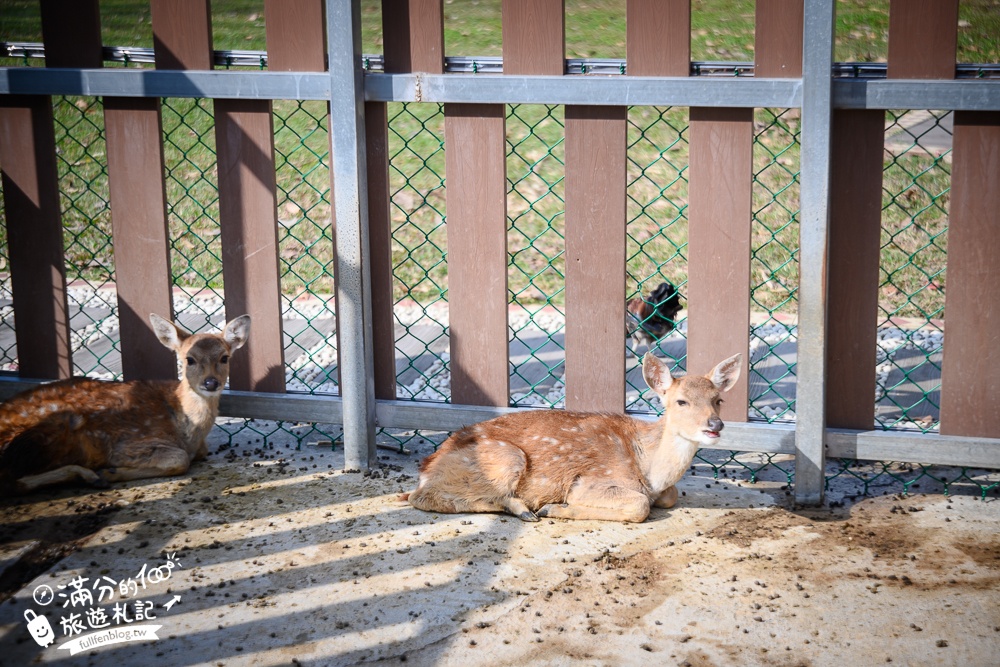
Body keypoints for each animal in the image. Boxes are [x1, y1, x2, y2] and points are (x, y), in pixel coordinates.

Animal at [0, 314, 250, 496]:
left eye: (224, 358)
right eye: (189, 359)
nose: (211, 382)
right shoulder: (125, 444)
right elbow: (180, 459)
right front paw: (110, 471)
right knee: (11, 481)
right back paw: (92, 475)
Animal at [402, 352, 740, 524]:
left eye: (718, 399)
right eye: (681, 401)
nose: (715, 424)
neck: (648, 466)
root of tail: (428, 466)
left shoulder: (663, 490)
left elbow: (671, 495)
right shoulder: (592, 481)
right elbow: (640, 506)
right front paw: (556, 508)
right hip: (506, 457)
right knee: (422, 498)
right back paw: (527, 509)